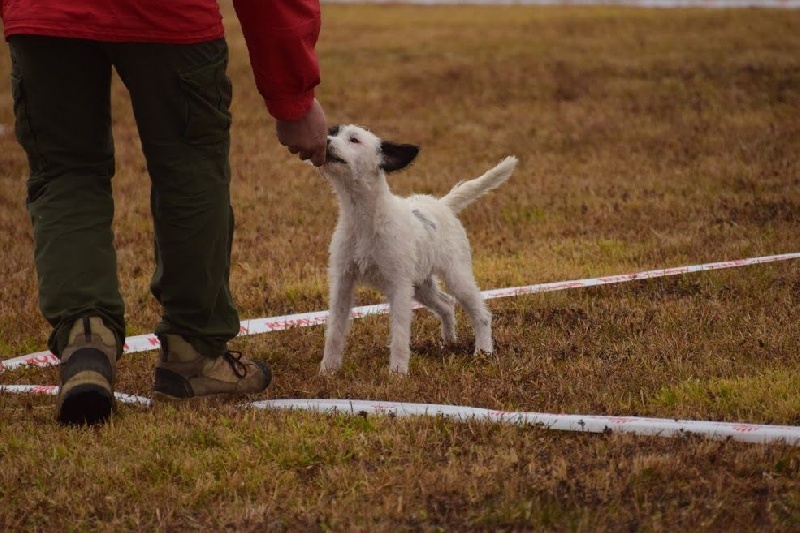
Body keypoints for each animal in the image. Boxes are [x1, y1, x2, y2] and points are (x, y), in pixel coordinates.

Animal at [316, 124, 516, 374]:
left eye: (354, 139)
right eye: (332, 132)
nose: (324, 141)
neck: (365, 219)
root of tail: (442, 205)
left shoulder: (399, 286)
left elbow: (400, 334)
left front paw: (398, 373)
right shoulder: (343, 282)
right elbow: (334, 330)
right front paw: (328, 370)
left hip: (456, 276)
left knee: (481, 314)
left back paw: (483, 351)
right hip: (421, 284)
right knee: (446, 304)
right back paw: (449, 342)